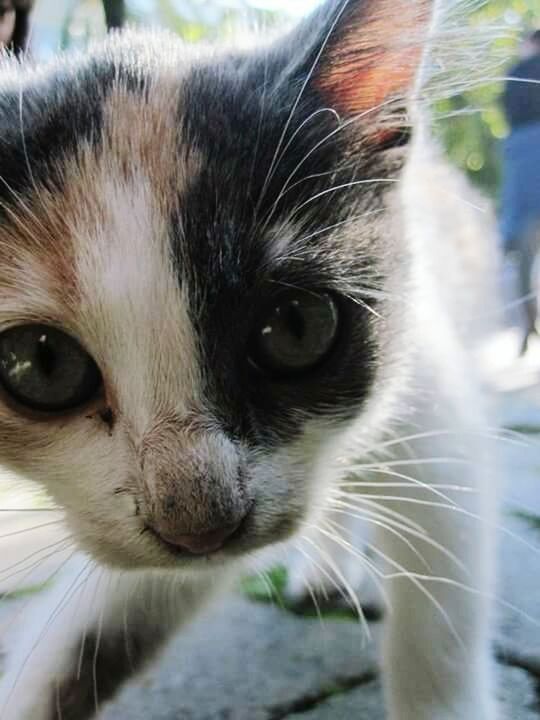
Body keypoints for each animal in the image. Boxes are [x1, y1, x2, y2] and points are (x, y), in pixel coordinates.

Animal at [0, 1, 500, 720]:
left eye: (295, 327)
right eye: (40, 365)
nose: (200, 524)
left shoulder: (431, 401)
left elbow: (442, 612)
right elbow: (93, 628)